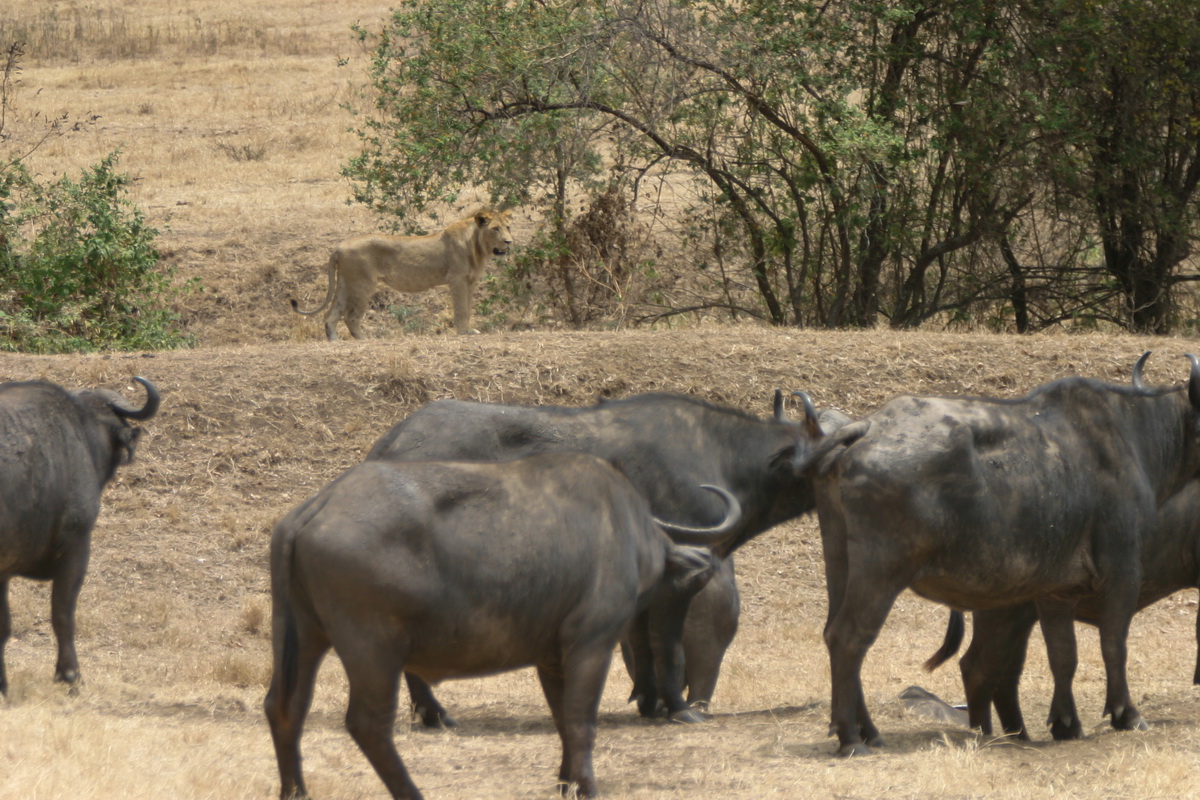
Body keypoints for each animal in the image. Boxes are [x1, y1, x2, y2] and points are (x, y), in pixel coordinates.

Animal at [265, 453, 739, 800]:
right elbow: (581, 719)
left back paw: (296, 792)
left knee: (285, 707)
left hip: (301, 633)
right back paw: (412, 793)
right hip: (373, 647)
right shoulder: (592, 643)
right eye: (689, 588)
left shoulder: (551, 658)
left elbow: (561, 719)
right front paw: (586, 786)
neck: (626, 527)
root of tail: (317, 507)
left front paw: (565, 781)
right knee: (368, 724)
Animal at [295, 208, 516, 340]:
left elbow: (468, 307)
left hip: (344, 283)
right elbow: (461, 309)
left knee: (330, 315)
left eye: (508, 227)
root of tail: (338, 246)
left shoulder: (470, 281)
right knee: (351, 317)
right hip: (362, 284)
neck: (477, 246)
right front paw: (463, 332)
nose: (509, 242)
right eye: (495, 229)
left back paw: (335, 341)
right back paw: (365, 340)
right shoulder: (457, 279)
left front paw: (469, 329)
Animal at [362, 391, 844, 724]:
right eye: (834, 449)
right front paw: (679, 707)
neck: (723, 460)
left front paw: (650, 702)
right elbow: (668, 645)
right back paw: (434, 713)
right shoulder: (681, 580)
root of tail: (389, 445)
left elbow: (643, 645)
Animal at [801, 357, 1200, 758]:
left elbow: (1063, 656)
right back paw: (852, 738)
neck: (1134, 436)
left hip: (840, 561)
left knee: (837, 635)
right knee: (851, 638)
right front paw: (1126, 715)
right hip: (883, 570)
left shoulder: (1057, 591)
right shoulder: (1122, 572)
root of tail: (866, 428)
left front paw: (1065, 723)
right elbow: (1114, 645)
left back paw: (869, 731)